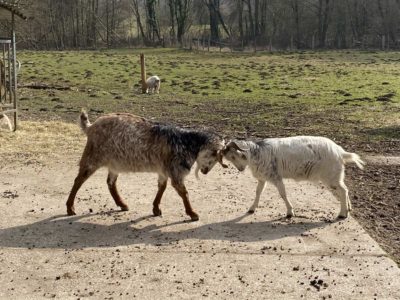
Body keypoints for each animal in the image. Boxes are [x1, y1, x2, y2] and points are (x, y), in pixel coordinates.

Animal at [222, 136, 366, 218]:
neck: (257, 153)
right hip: (336, 176)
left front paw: (290, 212)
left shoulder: (276, 177)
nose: (240, 169)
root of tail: (340, 152)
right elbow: (258, 192)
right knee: (345, 188)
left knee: (343, 190)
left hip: (330, 176)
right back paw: (348, 208)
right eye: (229, 158)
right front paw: (252, 208)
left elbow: (283, 194)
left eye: (233, 156)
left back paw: (342, 214)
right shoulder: (263, 178)